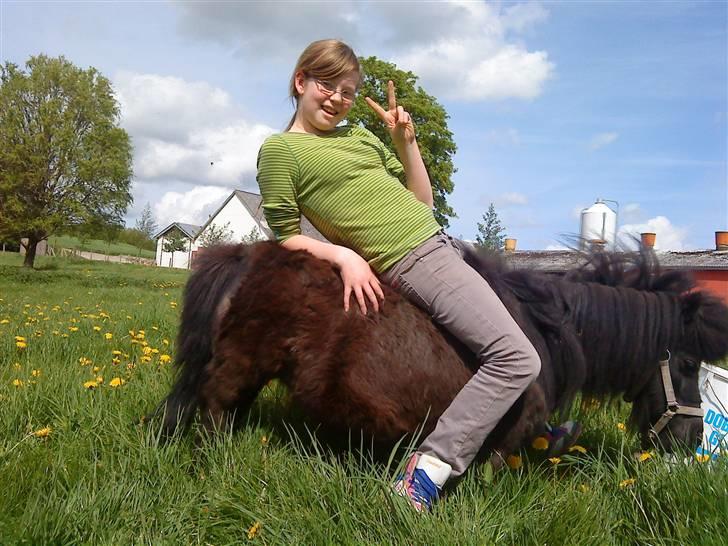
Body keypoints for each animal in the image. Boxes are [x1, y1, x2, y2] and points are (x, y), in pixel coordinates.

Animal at [156, 241, 728, 463]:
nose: (691, 440)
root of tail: (247, 253)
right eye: (686, 364)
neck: (546, 333)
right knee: (212, 406)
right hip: (237, 366)